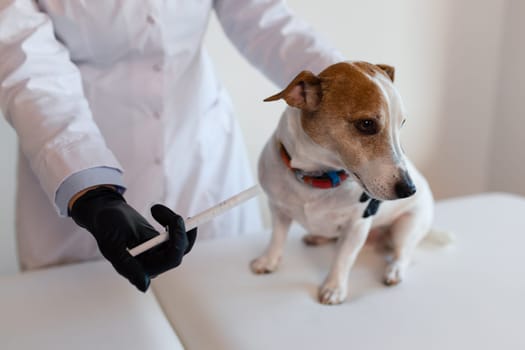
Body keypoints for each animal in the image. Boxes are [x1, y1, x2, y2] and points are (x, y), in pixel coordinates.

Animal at [250, 60, 434, 304]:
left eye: (402, 123)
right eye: (366, 124)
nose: (409, 189)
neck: (317, 178)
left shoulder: (356, 226)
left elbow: (343, 259)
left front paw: (333, 288)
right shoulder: (278, 209)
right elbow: (276, 238)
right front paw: (268, 261)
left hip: (408, 225)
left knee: (402, 253)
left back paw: (394, 271)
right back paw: (317, 237)